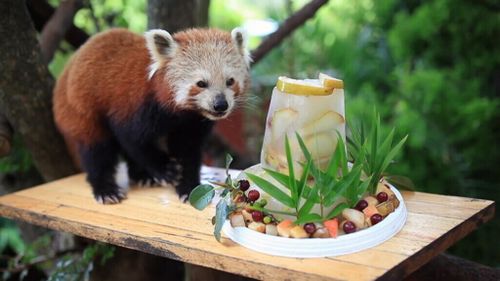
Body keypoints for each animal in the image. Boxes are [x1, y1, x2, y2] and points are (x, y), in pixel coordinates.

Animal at [52, 27, 252, 203]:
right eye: (201, 83)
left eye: (230, 81)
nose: (220, 105)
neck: (181, 113)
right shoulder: (136, 106)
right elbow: (133, 140)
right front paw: (166, 169)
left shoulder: (192, 123)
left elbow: (187, 150)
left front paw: (188, 187)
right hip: (79, 110)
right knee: (96, 150)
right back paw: (106, 189)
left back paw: (142, 176)